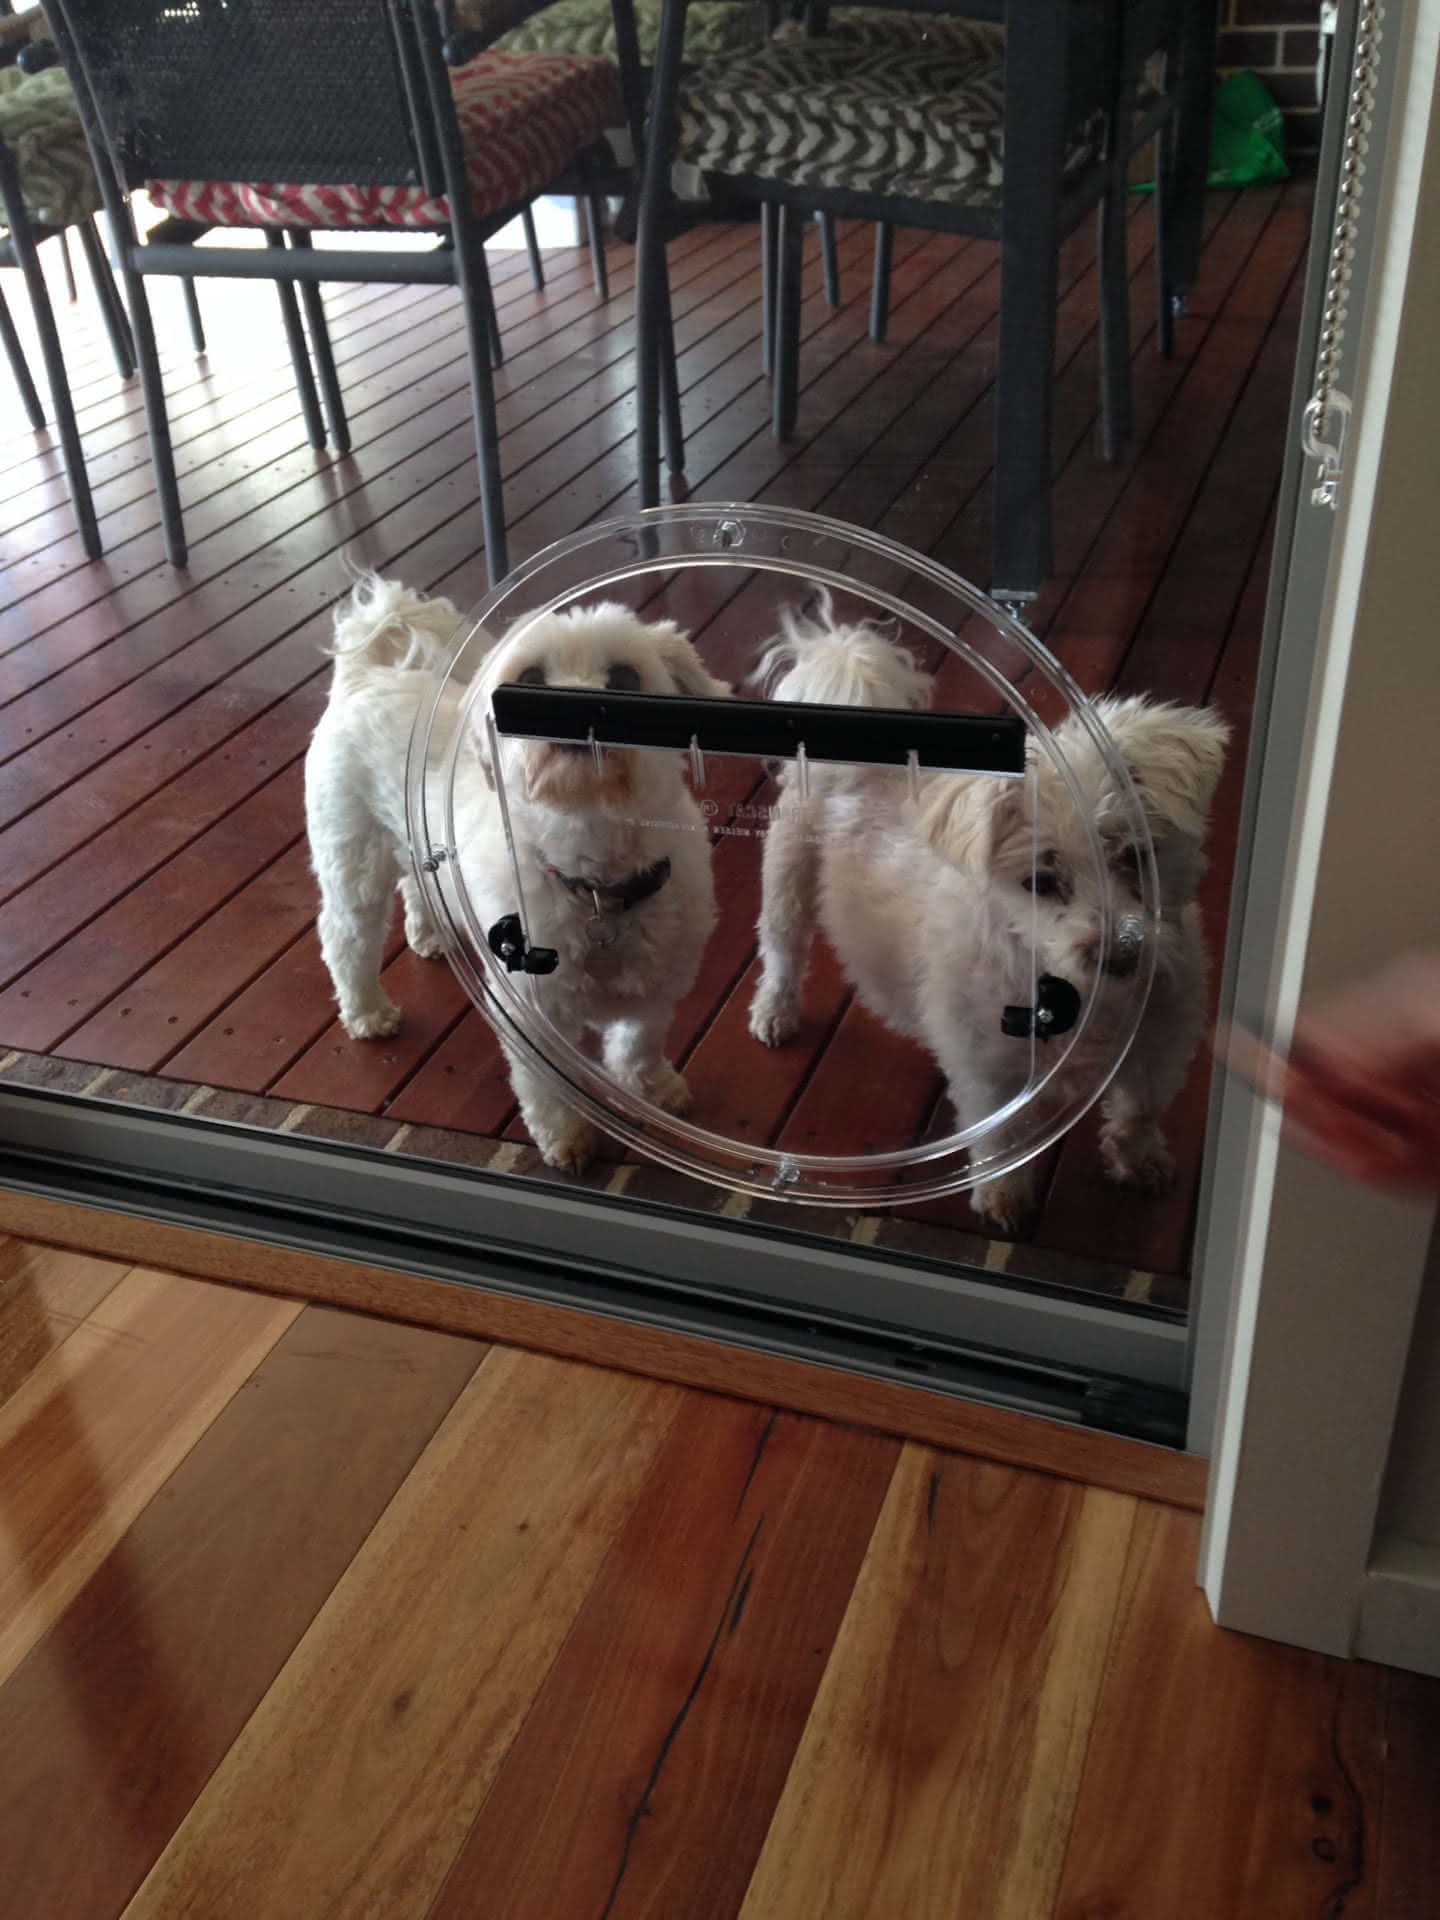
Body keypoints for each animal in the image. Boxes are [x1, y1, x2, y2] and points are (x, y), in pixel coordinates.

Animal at [305, 568, 733, 1167]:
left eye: (625, 676)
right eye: (530, 678)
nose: (574, 710)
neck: (594, 874)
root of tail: (365, 675)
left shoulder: (660, 979)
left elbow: (640, 1042)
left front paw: (651, 1087)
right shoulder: (531, 1007)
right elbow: (545, 1085)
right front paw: (567, 1138)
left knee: (416, 881)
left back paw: (429, 934)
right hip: (353, 861)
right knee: (346, 940)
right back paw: (367, 1011)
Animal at [748, 602, 1236, 1228]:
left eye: (1136, 854)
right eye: (1040, 882)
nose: (1121, 953)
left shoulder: (1162, 1042)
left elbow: (1140, 1109)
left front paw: (1140, 1160)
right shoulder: (991, 1075)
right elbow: (1000, 1141)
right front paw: (1003, 1198)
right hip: (787, 883)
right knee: (782, 955)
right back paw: (775, 1013)